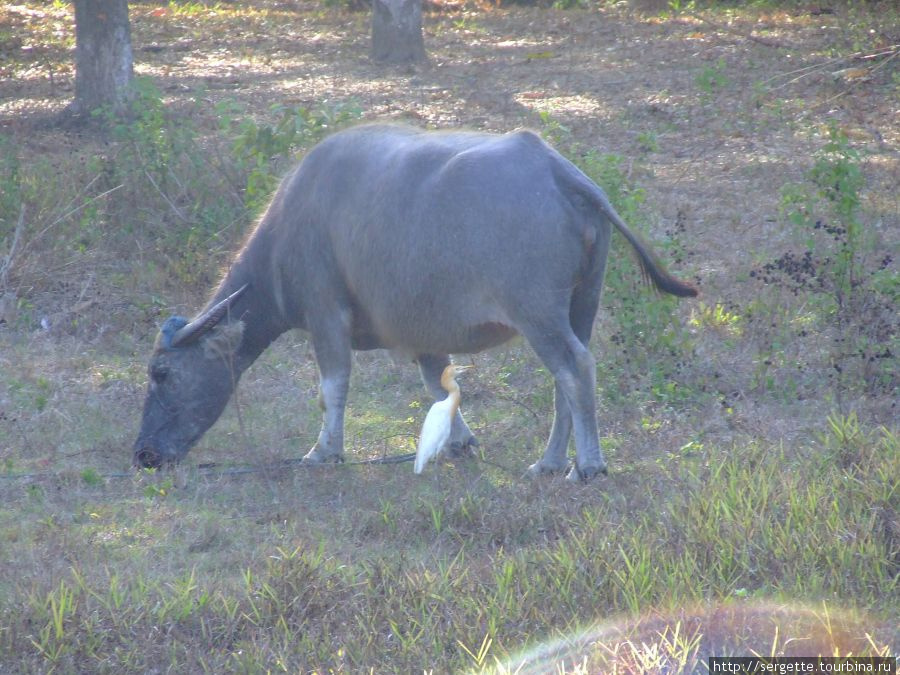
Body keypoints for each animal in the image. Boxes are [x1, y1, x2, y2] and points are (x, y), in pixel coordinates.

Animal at [134, 123, 696, 480]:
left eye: (161, 374)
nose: (143, 454)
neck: (288, 231)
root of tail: (562, 173)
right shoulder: (425, 331)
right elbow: (436, 384)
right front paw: (461, 442)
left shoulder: (325, 312)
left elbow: (333, 387)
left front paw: (323, 451)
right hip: (582, 303)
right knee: (568, 375)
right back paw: (551, 462)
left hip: (538, 312)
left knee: (574, 368)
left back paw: (588, 466)